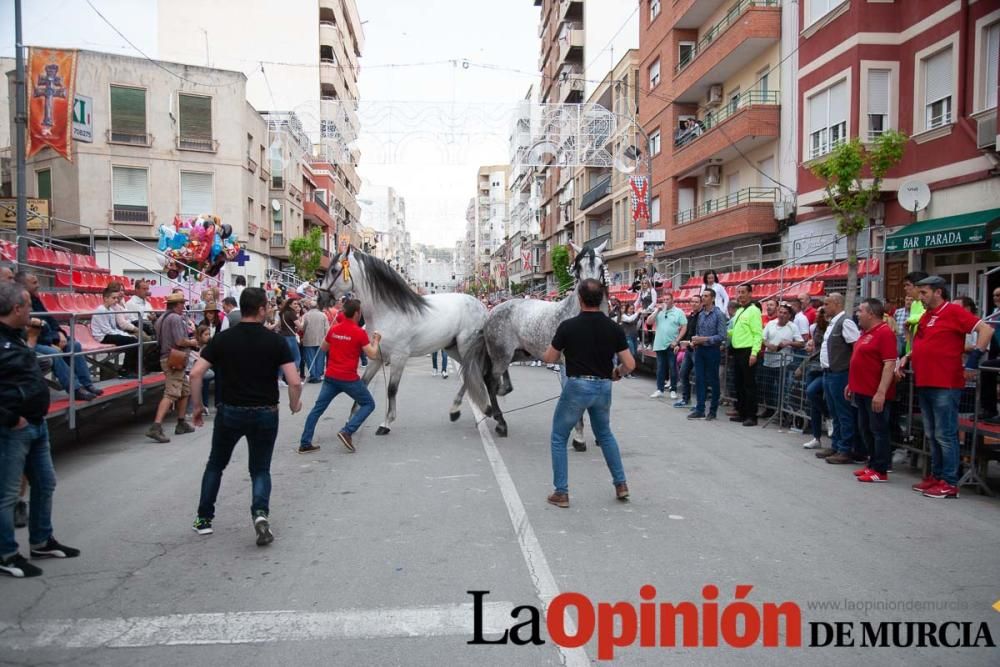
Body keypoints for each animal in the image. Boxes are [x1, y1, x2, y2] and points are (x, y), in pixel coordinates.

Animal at [462, 240, 608, 448]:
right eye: (578, 267)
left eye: (601, 266)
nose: (590, 294)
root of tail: (490, 313)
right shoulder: (569, 365)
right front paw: (579, 438)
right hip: (501, 355)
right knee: (490, 381)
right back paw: (501, 423)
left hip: (513, 354)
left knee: (499, 382)